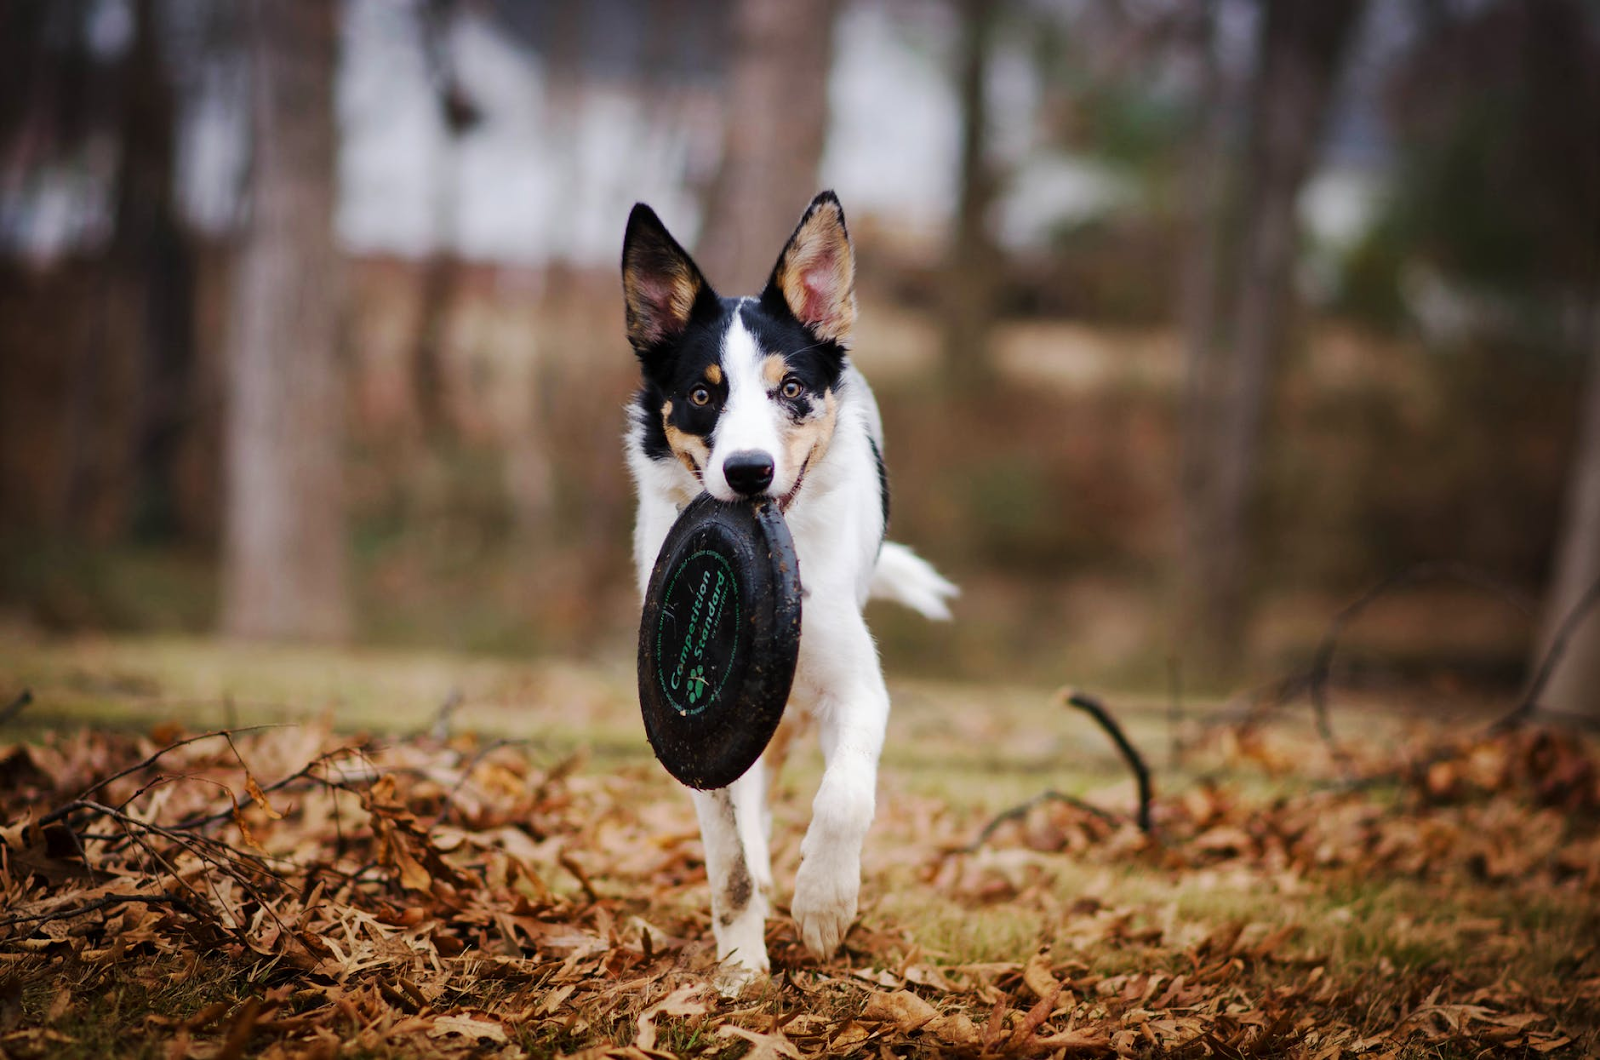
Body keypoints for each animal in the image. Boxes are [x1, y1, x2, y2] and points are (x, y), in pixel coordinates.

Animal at [617, 188, 953, 986]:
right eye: (702, 394)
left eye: (791, 389)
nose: (748, 472)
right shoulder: (702, 744)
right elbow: (730, 862)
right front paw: (742, 965)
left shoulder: (856, 689)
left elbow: (844, 799)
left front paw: (825, 905)